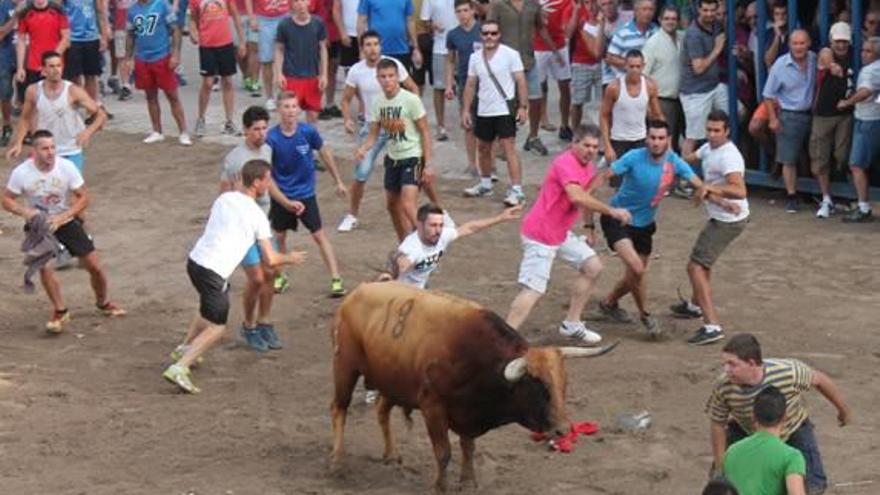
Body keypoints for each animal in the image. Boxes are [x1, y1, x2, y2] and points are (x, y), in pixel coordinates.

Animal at [330, 282, 620, 492]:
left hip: (392, 381)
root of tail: (357, 292)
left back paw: (391, 455)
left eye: (564, 383)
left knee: (381, 410)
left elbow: (468, 447)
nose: (562, 430)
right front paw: (440, 486)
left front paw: (468, 482)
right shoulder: (433, 407)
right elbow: (444, 452)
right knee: (339, 409)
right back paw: (338, 461)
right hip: (345, 367)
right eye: (537, 386)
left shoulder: (467, 411)